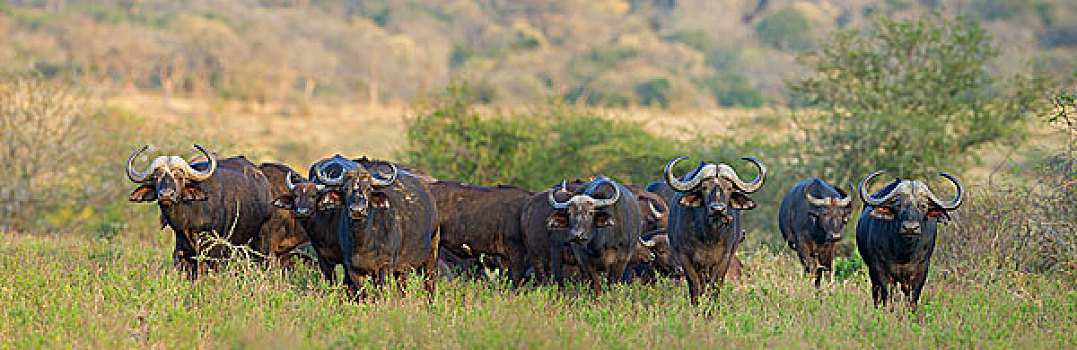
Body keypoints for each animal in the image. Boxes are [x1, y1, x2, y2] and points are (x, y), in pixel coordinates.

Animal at [125, 144, 273, 277]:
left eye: (180, 177)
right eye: (156, 177)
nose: (166, 195)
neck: (190, 218)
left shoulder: (215, 251)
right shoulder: (182, 253)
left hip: (261, 240)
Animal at [663, 154, 766, 303]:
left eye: (729, 188)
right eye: (704, 187)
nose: (717, 209)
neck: (709, 236)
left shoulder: (725, 258)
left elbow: (715, 286)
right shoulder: (685, 258)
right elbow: (695, 286)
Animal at [852, 170, 964, 310]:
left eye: (923, 206)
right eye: (898, 205)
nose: (910, 228)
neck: (903, 252)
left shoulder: (921, 271)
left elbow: (912, 298)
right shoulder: (879, 269)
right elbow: (887, 296)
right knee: (876, 294)